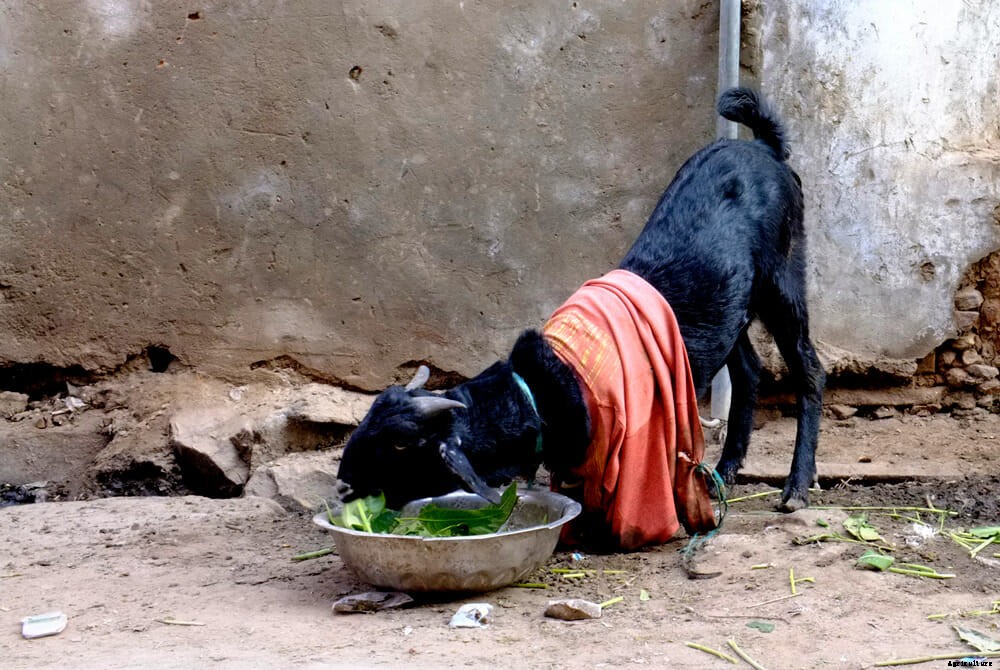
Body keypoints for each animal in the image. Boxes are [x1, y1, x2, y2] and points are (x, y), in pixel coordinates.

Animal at [336, 87, 825, 537]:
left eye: (403, 446)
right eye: (374, 412)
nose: (343, 485)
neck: (543, 387)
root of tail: (764, 147)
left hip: (783, 277)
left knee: (808, 369)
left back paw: (796, 488)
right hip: (734, 307)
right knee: (749, 369)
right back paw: (726, 470)